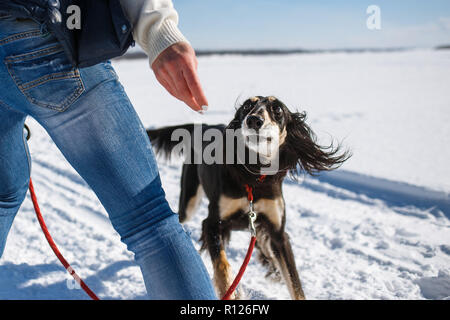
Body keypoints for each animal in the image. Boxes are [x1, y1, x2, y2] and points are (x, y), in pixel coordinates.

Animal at [146, 95, 350, 300]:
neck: (254, 177)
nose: (253, 120)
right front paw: (231, 291)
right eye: (246, 106)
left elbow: (295, 283)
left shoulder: (278, 234)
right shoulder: (212, 223)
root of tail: (204, 125)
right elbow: (222, 265)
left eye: (277, 109)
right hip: (189, 202)